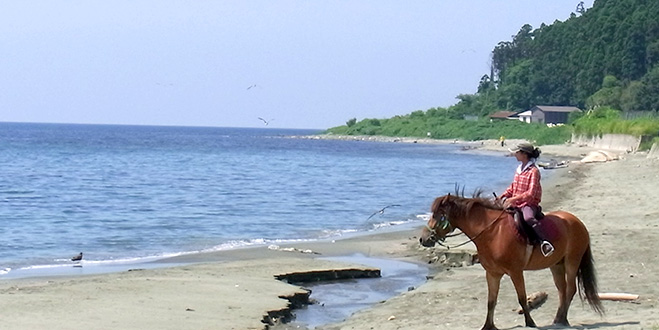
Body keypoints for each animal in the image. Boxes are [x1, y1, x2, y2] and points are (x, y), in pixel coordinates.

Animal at [422, 193, 604, 330]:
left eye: (438, 215)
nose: (423, 239)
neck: (492, 232)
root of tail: (577, 222)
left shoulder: (516, 272)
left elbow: (522, 298)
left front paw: (530, 323)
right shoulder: (492, 274)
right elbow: (491, 301)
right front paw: (488, 326)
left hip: (572, 261)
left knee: (570, 289)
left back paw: (563, 319)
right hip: (556, 265)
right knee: (562, 290)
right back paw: (559, 318)